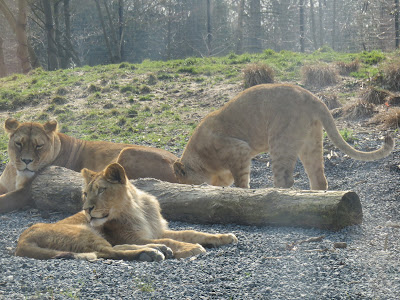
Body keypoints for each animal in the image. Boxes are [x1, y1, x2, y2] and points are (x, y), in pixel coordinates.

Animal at [0, 117, 178, 213]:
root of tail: (178, 163)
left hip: (126, 152)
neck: (16, 173)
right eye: (19, 143)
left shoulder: (28, 193)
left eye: (39, 145)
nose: (26, 161)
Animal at [14, 163, 238, 258]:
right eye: (85, 193)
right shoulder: (132, 236)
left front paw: (225, 237)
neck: (138, 209)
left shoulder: (156, 231)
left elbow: (193, 232)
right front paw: (191, 248)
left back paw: (157, 250)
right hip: (83, 233)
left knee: (110, 250)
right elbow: (173, 240)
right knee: (108, 251)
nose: (86, 210)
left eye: (101, 190)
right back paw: (151, 253)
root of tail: (21, 240)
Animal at [173, 83, 396, 190]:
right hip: (310, 142)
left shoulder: (239, 149)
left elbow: (241, 181)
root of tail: (314, 97)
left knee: (285, 180)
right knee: (319, 179)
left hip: (279, 141)